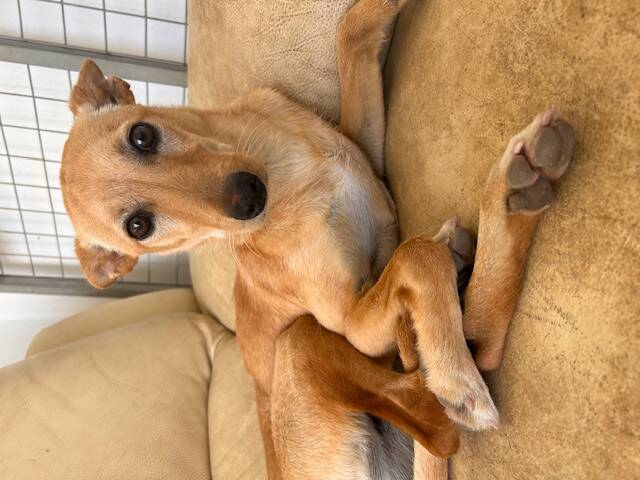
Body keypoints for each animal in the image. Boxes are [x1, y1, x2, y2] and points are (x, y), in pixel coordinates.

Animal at [60, 0, 575, 478]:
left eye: (142, 135)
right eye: (139, 227)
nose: (248, 197)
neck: (286, 171)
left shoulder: (366, 151)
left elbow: (351, 30)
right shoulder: (353, 325)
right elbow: (415, 255)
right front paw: (451, 371)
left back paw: (511, 197)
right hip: (302, 339)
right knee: (447, 402)